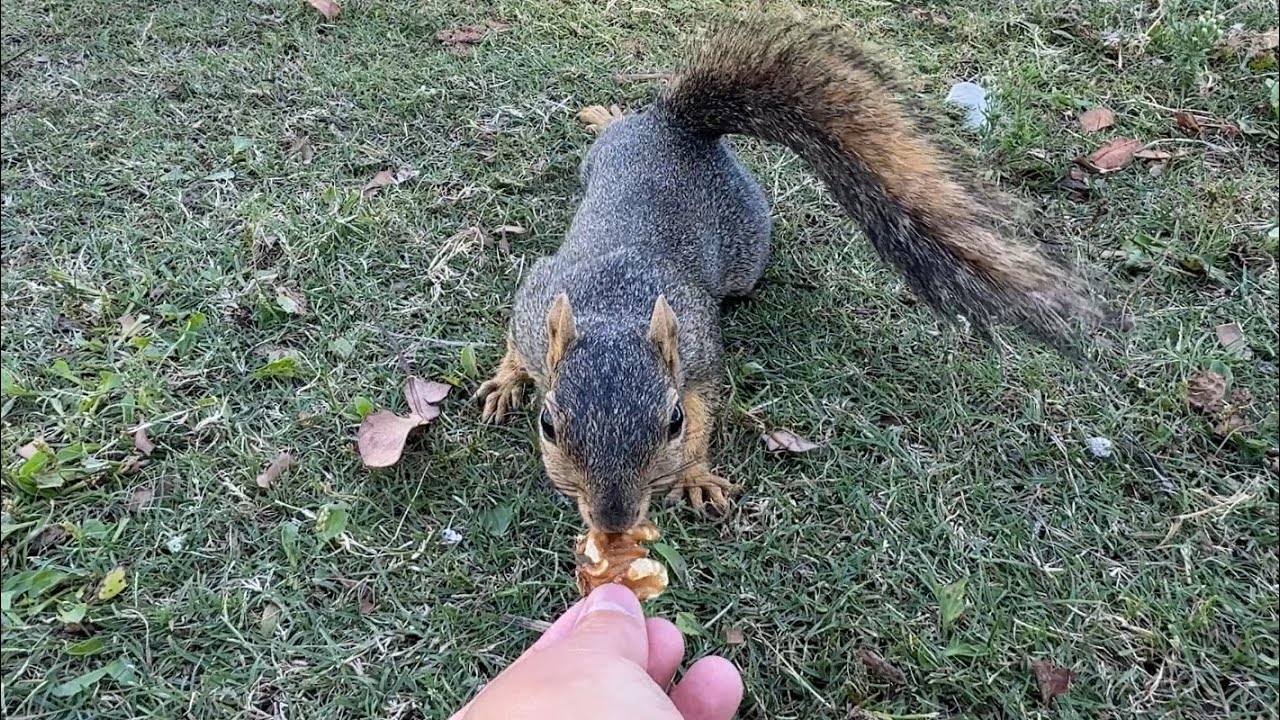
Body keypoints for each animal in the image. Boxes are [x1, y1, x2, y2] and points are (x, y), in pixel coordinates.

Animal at [474, 20, 1105, 534]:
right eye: (548, 425)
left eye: (672, 423)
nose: (614, 521)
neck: (613, 305)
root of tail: (680, 127)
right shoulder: (537, 297)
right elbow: (517, 340)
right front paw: (507, 381)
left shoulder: (698, 347)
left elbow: (708, 403)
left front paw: (695, 474)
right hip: (604, 161)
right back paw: (608, 115)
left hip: (747, 248)